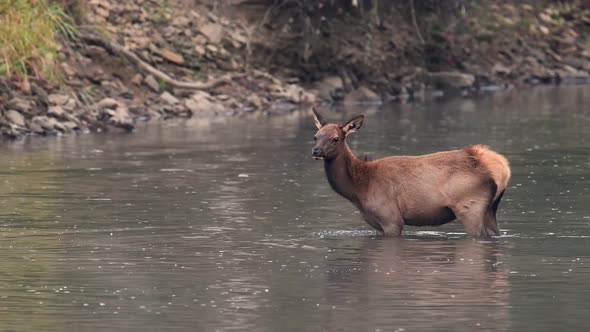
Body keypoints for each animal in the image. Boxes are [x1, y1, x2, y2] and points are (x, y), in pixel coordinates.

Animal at [312, 107, 512, 237]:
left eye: (335, 138)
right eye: (315, 136)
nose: (316, 151)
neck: (359, 190)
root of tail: (502, 168)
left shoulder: (391, 217)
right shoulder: (376, 223)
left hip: (470, 207)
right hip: (490, 209)